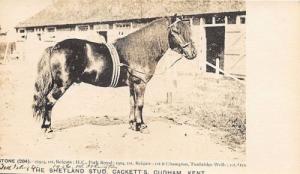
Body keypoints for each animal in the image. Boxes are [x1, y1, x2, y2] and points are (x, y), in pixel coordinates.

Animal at [32, 16, 197, 133]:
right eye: (175, 31)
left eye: (188, 31)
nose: (193, 53)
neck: (140, 49)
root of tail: (54, 46)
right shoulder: (140, 84)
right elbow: (140, 104)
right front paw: (142, 126)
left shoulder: (132, 85)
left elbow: (132, 103)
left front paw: (132, 125)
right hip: (62, 85)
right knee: (49, 101)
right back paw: (47, 128)